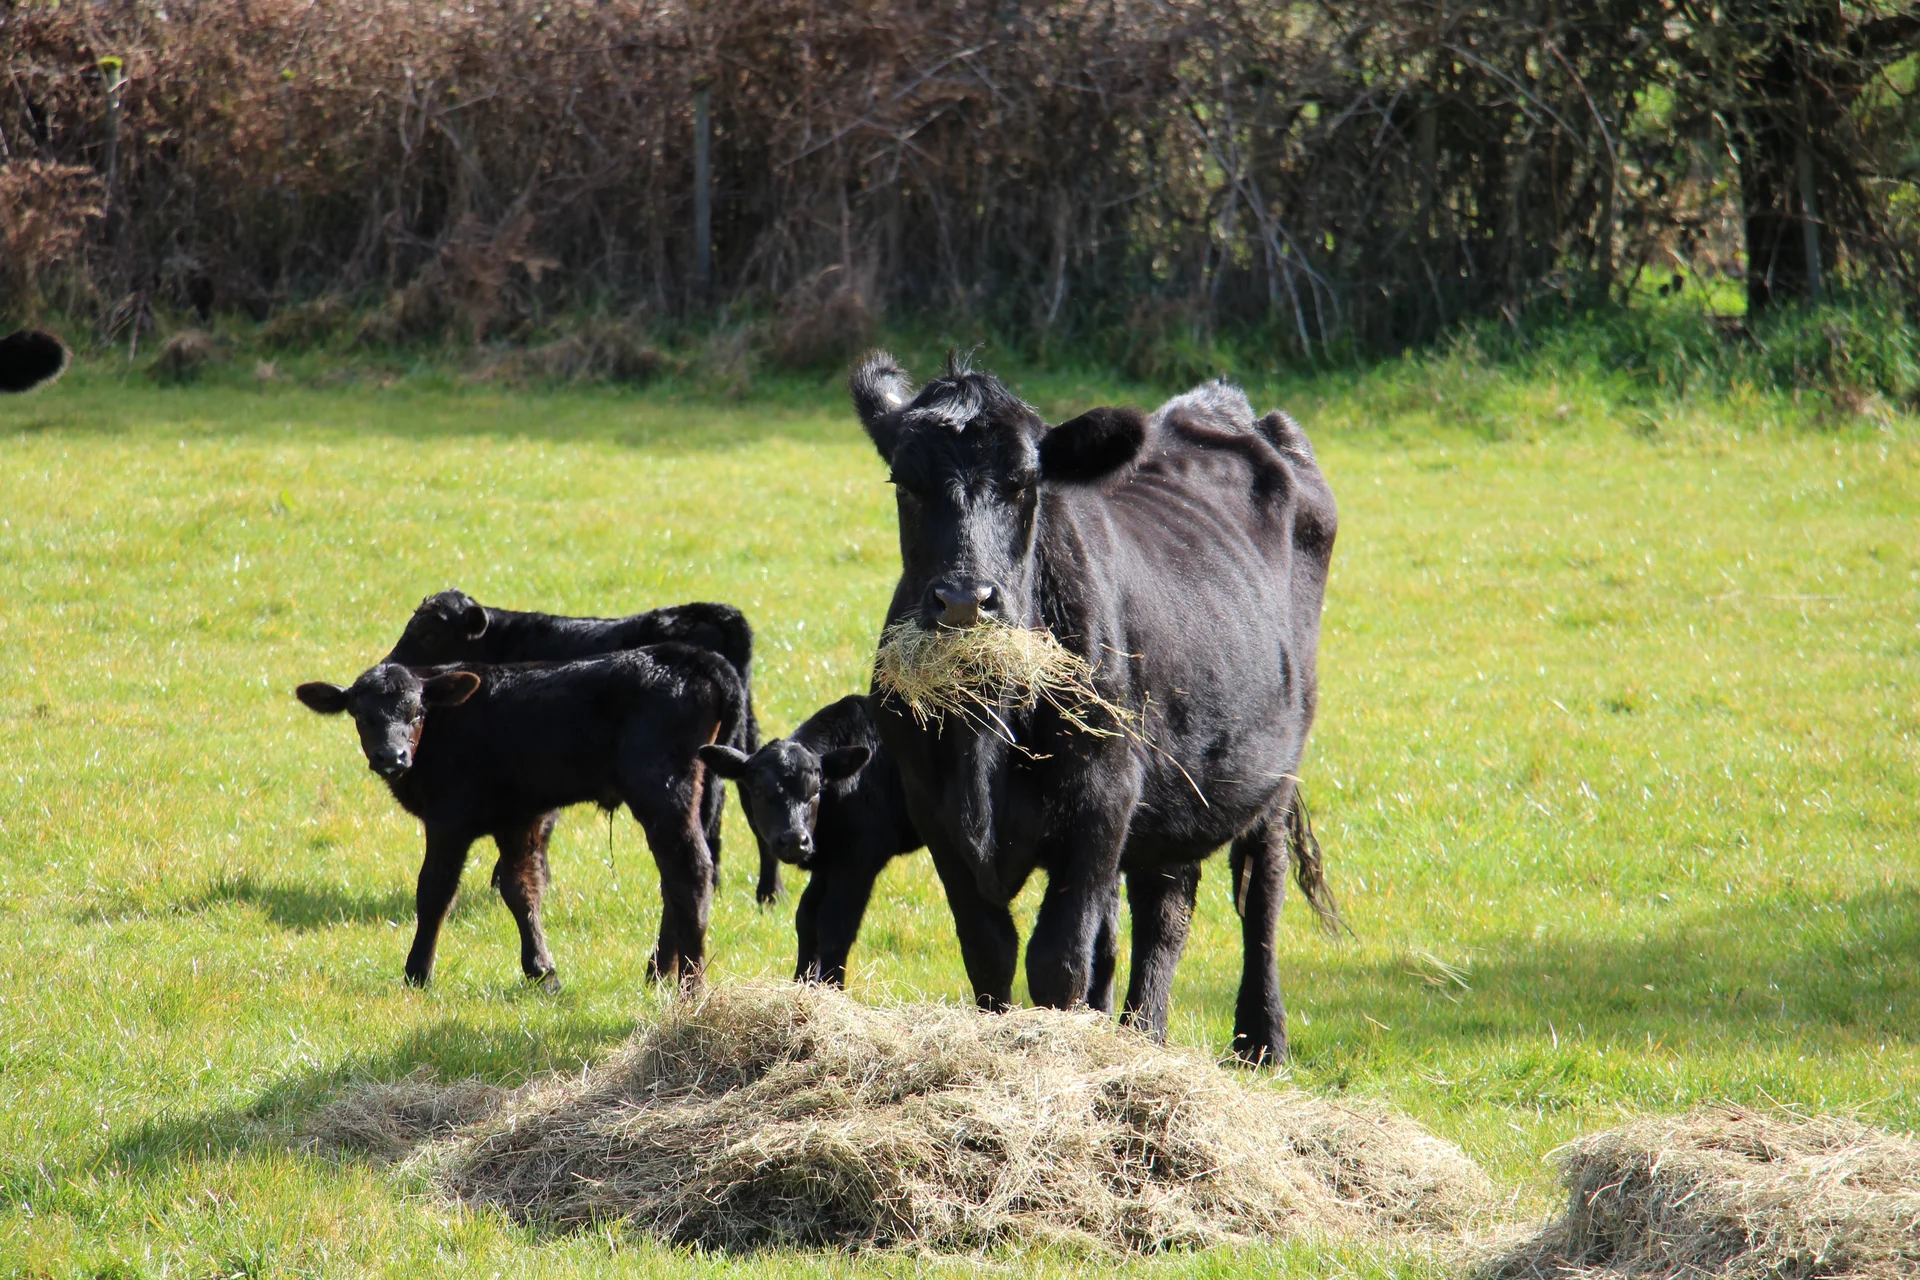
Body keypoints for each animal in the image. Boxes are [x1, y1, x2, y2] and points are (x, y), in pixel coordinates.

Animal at [295, 645, 743, 991]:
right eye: (360, 715)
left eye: (418, 712)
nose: (392, 756)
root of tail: (693, 656)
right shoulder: (520, 815)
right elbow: (521, 888)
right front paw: (542, 972)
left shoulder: (449, 817)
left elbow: (435, 890)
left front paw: (417, 973)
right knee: (674, 879)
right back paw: (657, 972)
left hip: (662, 790)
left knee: (691, 872)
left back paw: (690, 985)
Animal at [697, 695, 924, 986]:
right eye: (758, 791)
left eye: (816, 790)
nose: (794, 840)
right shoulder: (826, 861)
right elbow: (806, 917)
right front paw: (800, 983)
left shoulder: (859, 860)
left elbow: (836, 925)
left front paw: (831, 986)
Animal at [848, 351, 1340, 1063]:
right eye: (904, 484)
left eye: (1026, 484)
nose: (966, 600)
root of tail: (1223, 405)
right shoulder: (937, 814)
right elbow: (991, 953)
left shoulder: (1100, 798)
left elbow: (1058, 960)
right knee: (1164, 909)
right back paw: (1143, 1036)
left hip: (1271, 770)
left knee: (1260, 893)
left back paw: (1261, 1041)